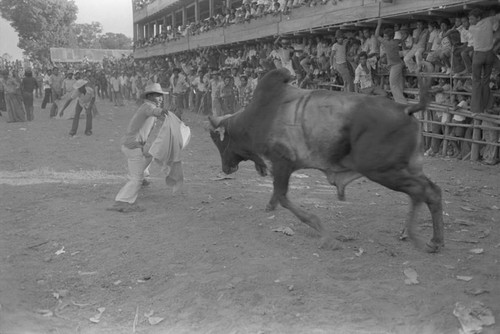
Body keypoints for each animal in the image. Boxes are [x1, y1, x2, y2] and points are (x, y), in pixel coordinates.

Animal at [209, 69, 444, 252]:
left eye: (219, 140)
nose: (226, 168)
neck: (259, 115)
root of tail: (406, 108)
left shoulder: (282, 161)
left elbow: (283, 197)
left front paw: (325, 234)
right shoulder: (280, 166)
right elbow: (278, 195)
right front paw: (270, 206)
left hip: (383, 171)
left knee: (424, 192)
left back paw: (422, 238)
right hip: (408, 168)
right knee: (428, 192)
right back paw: (427, 238)